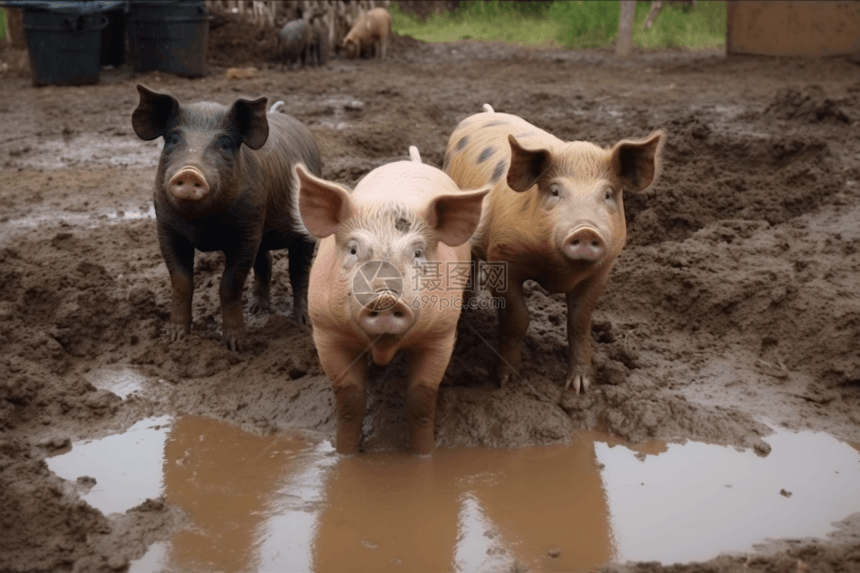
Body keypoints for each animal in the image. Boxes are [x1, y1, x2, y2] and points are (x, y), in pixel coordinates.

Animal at [133, 84, 320, 348]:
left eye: (224, 143)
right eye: (174, 139)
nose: (190, 172)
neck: (202, 224)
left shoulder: (246, 233)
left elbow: (230, 284)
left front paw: (236, 346)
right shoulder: (167, 229)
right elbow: (181, 282)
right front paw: (176, 338)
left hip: (304, 227)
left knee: (300, 272)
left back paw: (302, 323)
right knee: (265, 262)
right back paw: (257, 310)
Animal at [294, 149, 488, 456]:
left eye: (418, 253)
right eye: (353, 250)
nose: (385, 297)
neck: (384, 346)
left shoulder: (441, 334)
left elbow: (421, 400)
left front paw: (424, 455)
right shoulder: (326, 331)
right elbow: (349, 400)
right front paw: (344, 455)